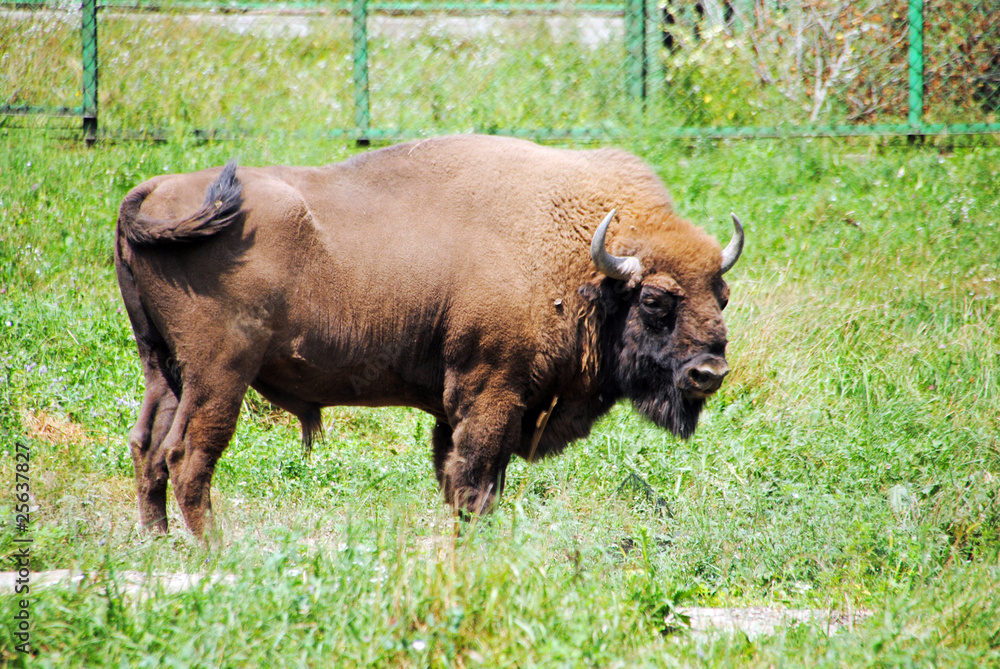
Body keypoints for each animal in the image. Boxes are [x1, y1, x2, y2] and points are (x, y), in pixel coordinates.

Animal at [117, 133, 744, 536]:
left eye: (722, 295)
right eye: (656, 300)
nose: (708, 373)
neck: (580, 264)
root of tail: (151, 193)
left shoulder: (464, 406)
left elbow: (463, 478)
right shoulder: (492, 394)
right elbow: (474, 481)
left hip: (162, 367)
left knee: (148, 445)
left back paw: (158, 541)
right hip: (219, 372)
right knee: (188, 455)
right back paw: (212, 550)